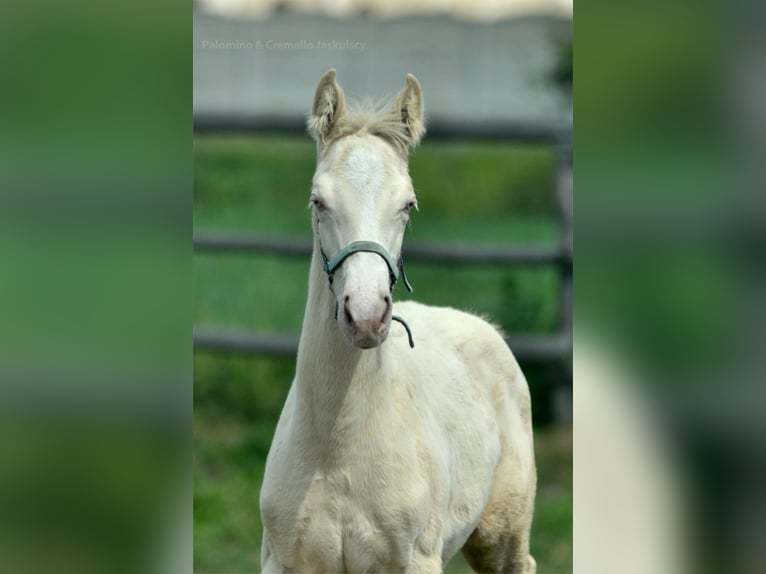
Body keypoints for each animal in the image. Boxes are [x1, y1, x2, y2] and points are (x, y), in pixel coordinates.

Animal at [260, 72, 536, 574]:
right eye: (317, 201)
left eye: (408, 204)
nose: (367, 315)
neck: (339, 450)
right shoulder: (283, 561)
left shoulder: (416, 560)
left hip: (501, 535)